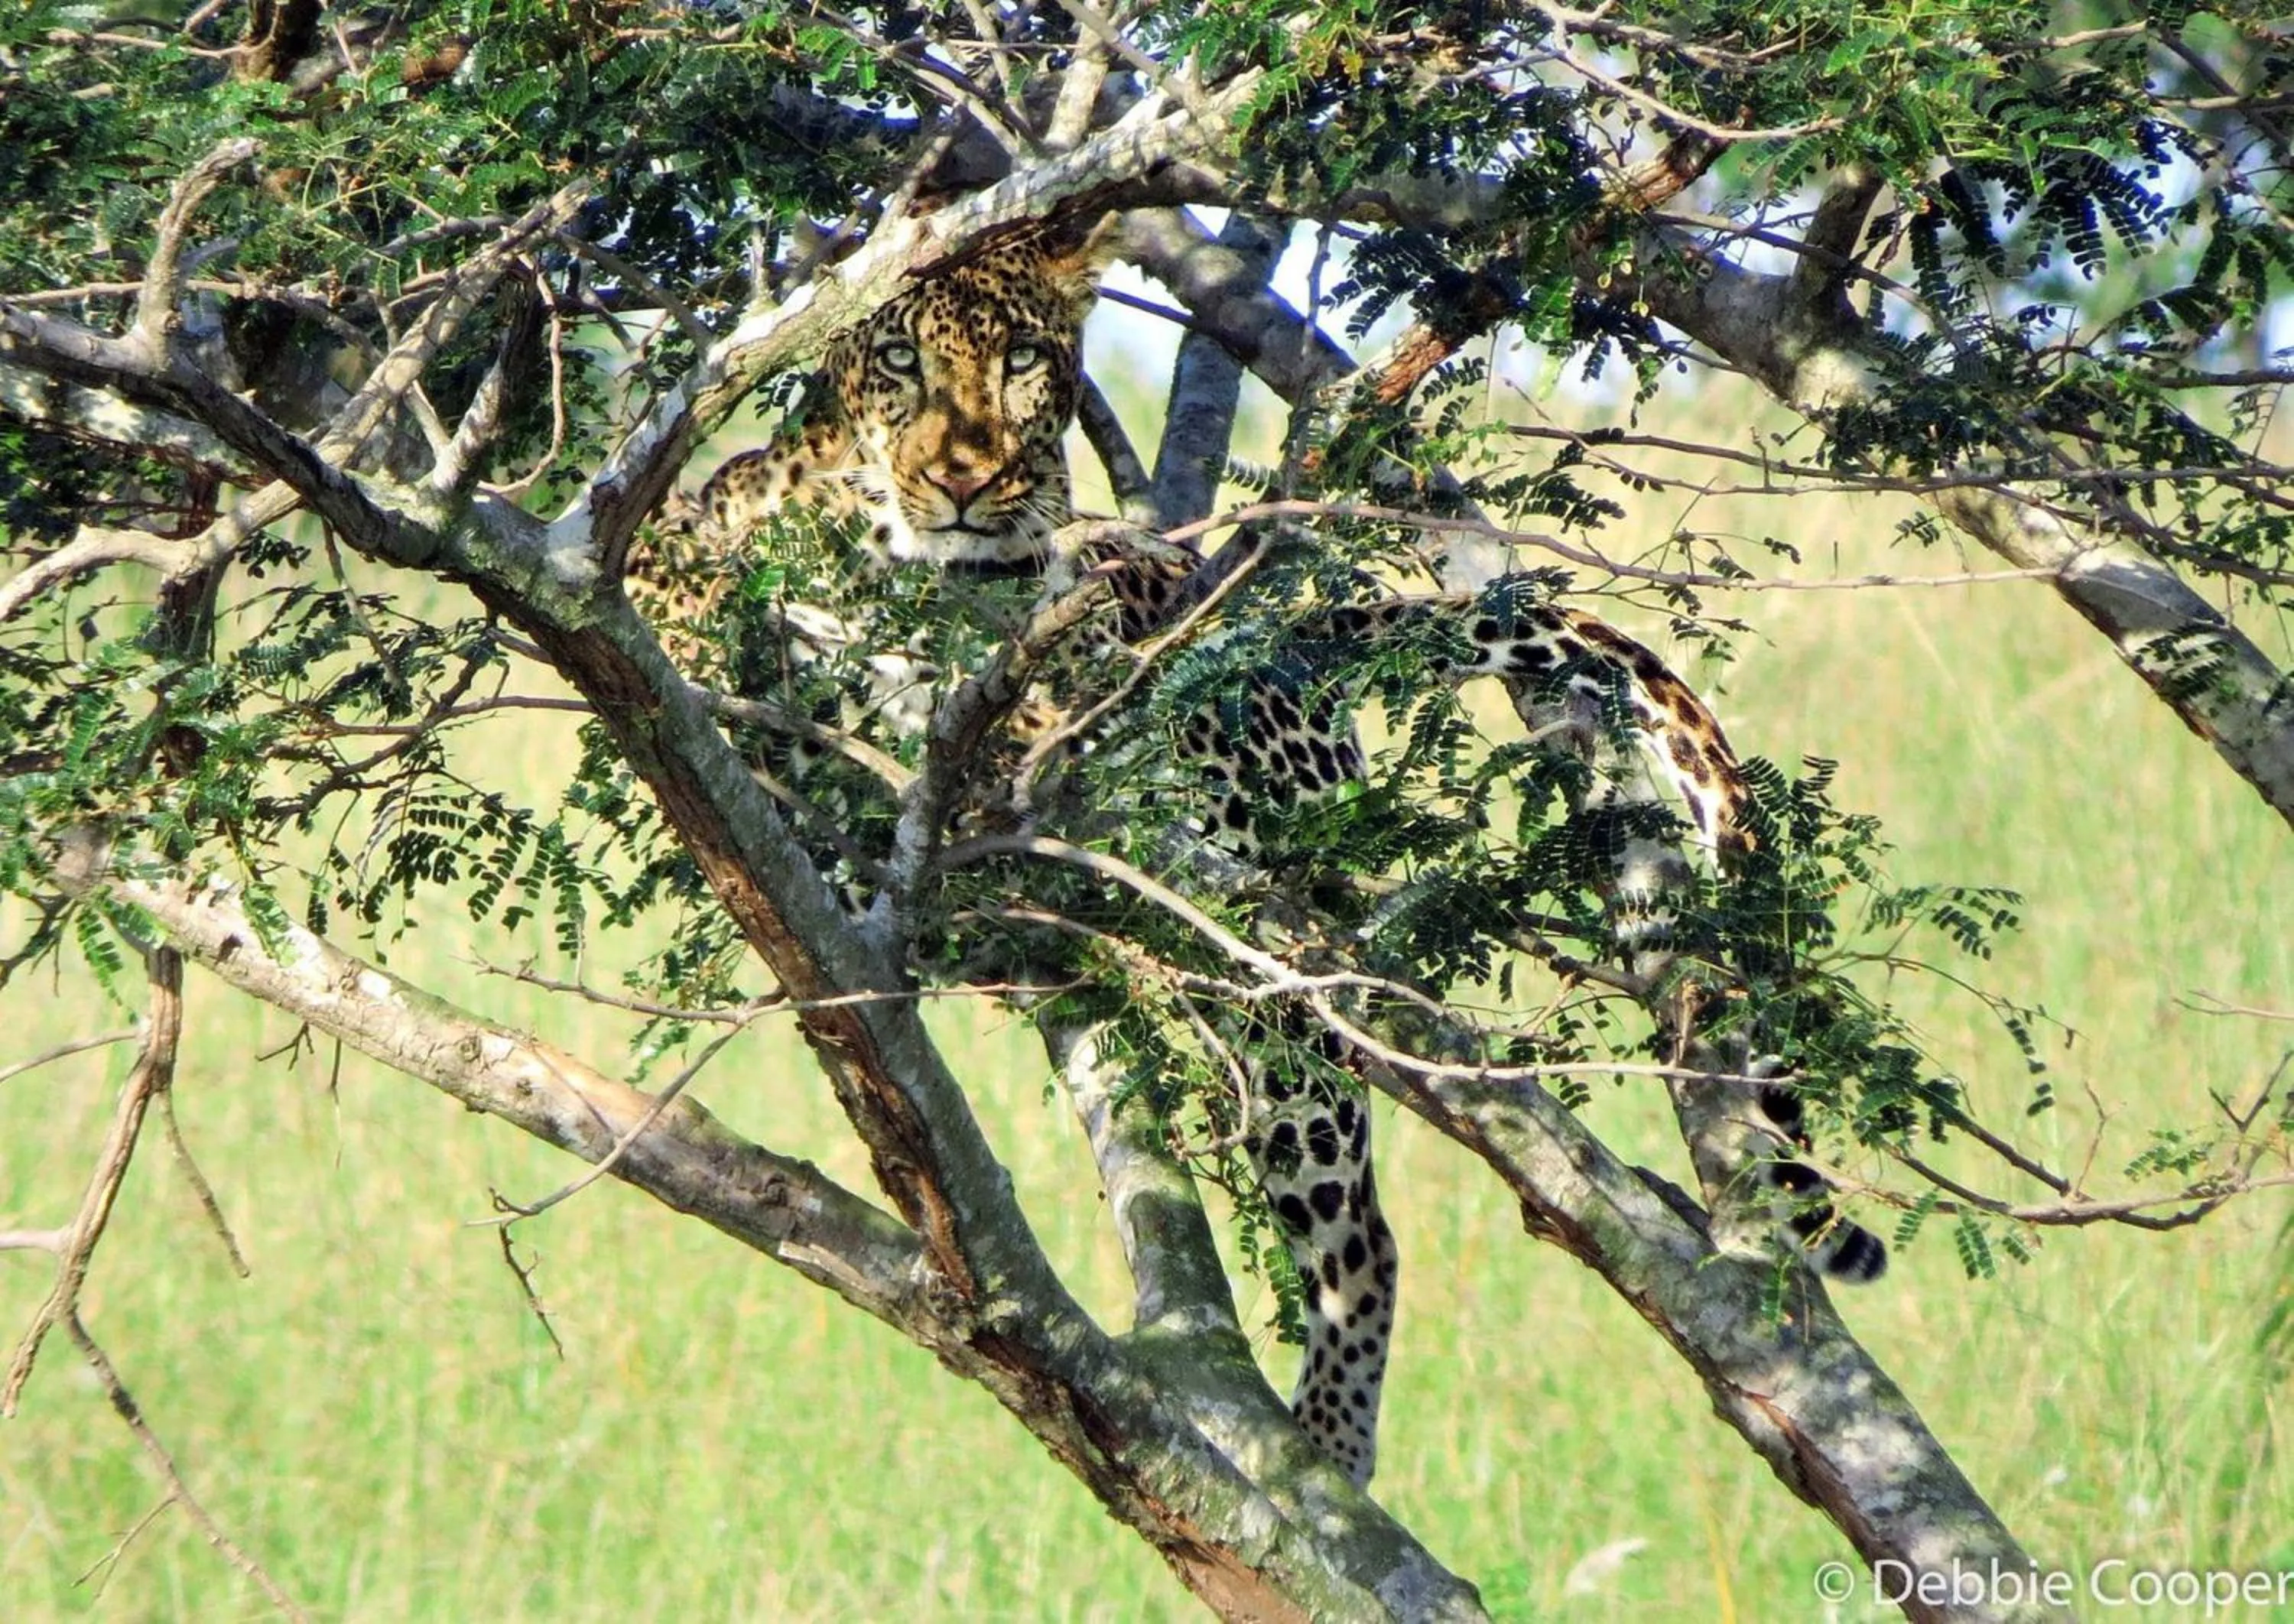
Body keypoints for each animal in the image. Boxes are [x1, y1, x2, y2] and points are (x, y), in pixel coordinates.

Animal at [636, 224, 1886, 1491]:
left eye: (1024, 362)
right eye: (897, 361)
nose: (964, 481)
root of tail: (1279, 635)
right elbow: (691, 557)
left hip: (1263, 966)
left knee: (1359, 1235)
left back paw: (1325, 1453)